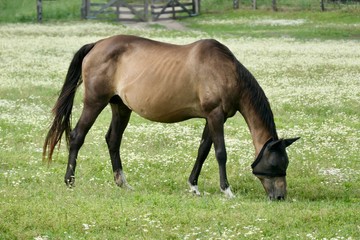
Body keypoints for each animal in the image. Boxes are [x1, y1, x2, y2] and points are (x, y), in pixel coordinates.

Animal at [43, 34, 300, 201]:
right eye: (275, 164)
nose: (280, 196)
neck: (225, 70)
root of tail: (96, 44)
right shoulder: (215, 115)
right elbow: (220, 153)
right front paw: (226, 190)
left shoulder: (212, 118)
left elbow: (203, 151)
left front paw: (194, 186)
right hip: (95, 102)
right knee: (77, 136)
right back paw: (70, 181)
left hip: (120, 106)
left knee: (113, 140)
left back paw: (123, 183)